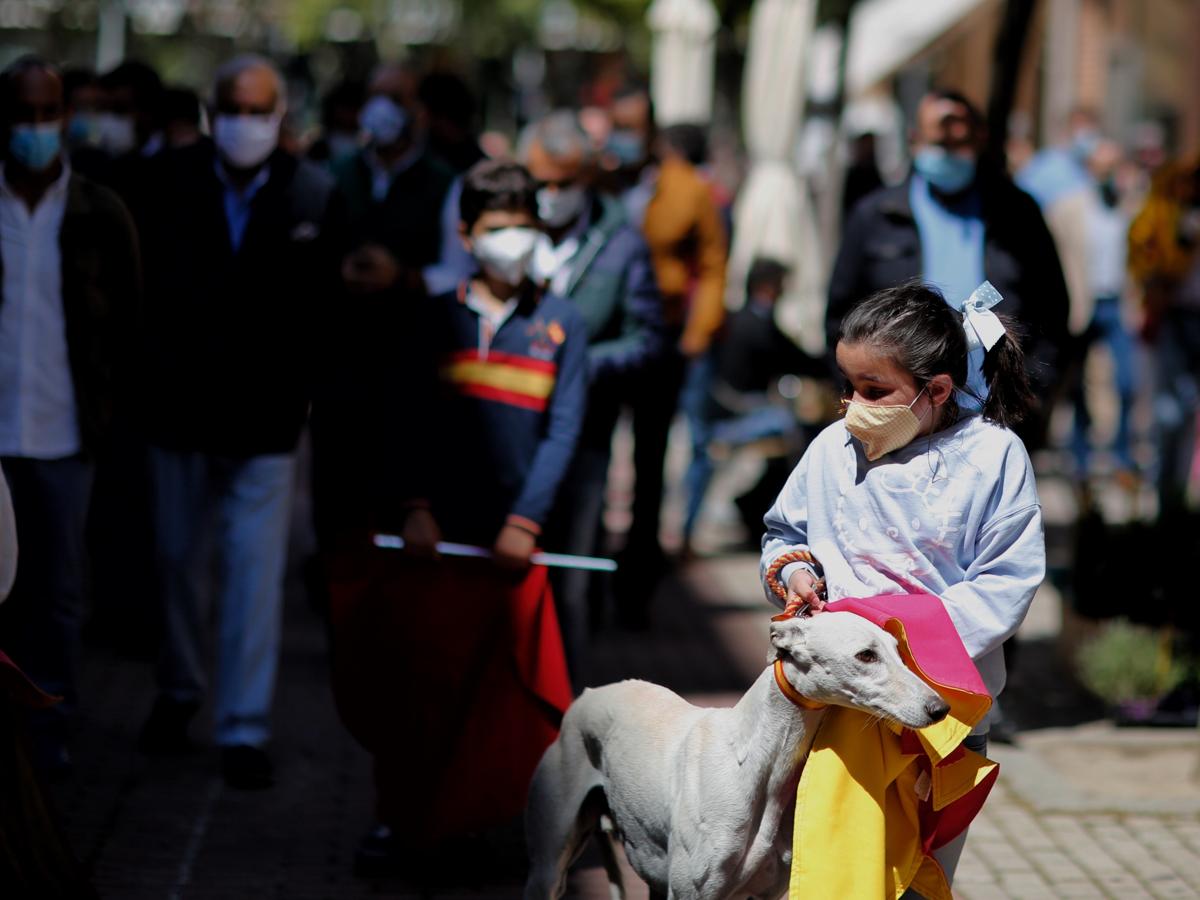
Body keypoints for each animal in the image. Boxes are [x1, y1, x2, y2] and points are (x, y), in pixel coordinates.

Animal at [520, 609, 950, 897]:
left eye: (899, 651)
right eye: (865, 655)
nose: (939, 708)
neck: (754, 760)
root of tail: (587, 695)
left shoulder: (765, 892)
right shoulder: (692, 891)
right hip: (548, 862)